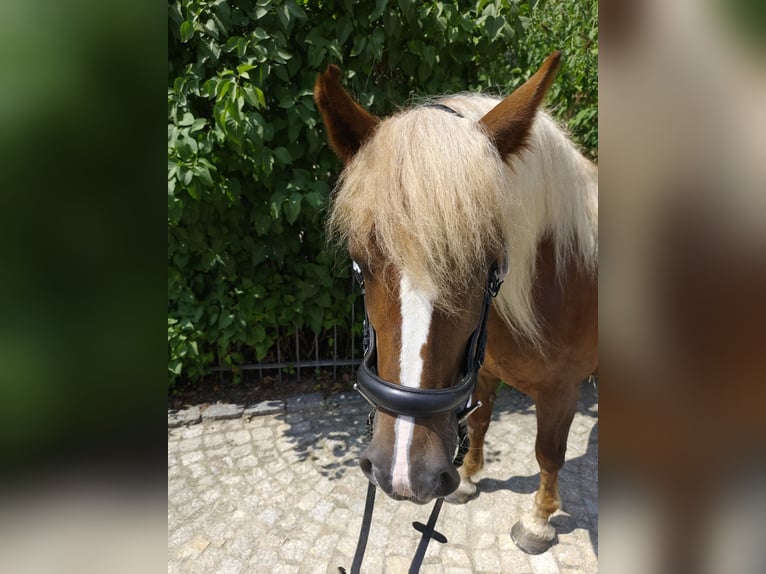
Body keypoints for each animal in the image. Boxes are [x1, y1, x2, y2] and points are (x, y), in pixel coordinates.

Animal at [314, 51, 598, 555]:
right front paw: (467, 479)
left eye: (486, 262)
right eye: (359, 262)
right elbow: (479, 422)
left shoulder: (563, 389)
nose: (404, 474)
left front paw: (539, 519)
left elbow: (548, 451)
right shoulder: (479, 370)